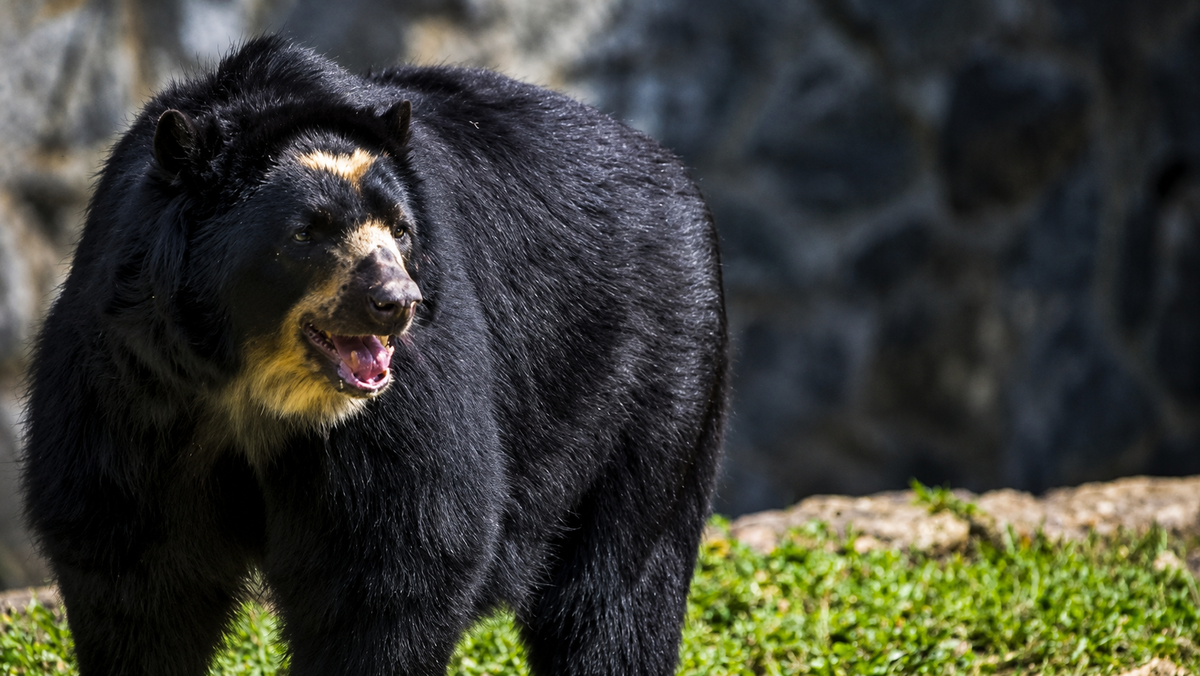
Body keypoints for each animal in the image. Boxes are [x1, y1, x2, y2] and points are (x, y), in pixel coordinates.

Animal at [21, 36, 727, 676]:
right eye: (307, 232)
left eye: (402, 229)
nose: (397, 301)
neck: (254, 388)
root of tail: (674, 170)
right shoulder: (136, 380)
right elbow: (135, 562)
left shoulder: (405, 397)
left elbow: (395, 561)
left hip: (650, 378)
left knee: (615, 591)